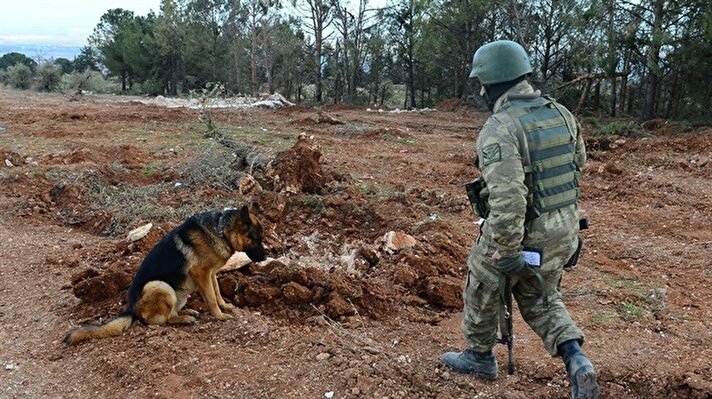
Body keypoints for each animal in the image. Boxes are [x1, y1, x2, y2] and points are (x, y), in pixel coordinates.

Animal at [65, 205, 266, 346]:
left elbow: (217, 293)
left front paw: (226, 306)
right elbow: (211, 299)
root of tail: (131, 309)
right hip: (160, 285)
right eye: (256, 239)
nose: (265, 257)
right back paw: (185, 319)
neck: (220, 229)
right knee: (164, 320)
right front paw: (220, 316)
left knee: (171, 312)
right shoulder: (201, 273)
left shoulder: (211, 274)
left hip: (180, 294)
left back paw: (188, 312)